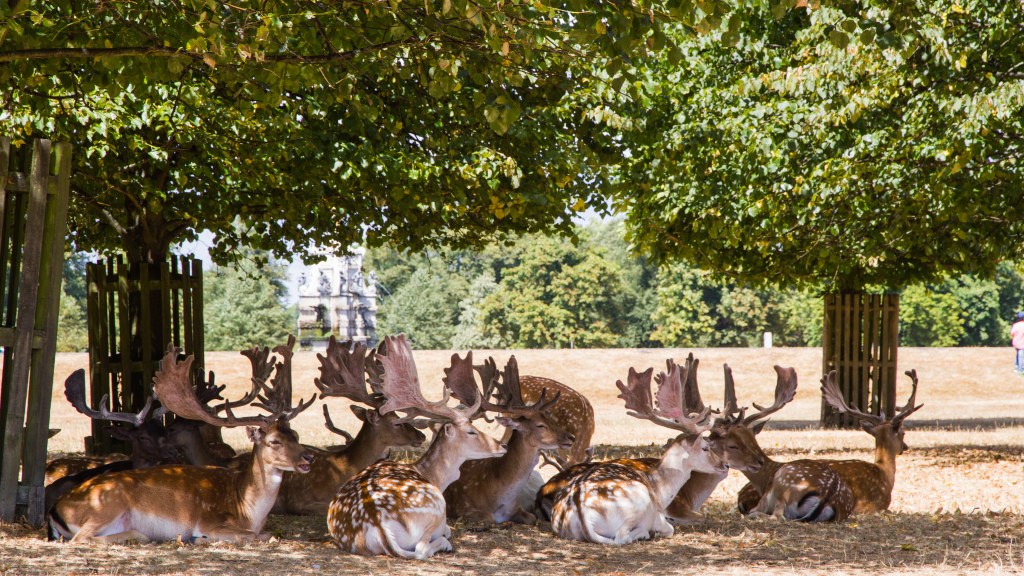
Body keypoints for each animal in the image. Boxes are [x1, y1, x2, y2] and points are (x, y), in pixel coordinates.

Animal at [47, 343, 315, 544]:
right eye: (274, 441)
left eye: (296, 435)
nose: (309, 457)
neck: (247, 508)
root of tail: (55, 508)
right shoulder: (210, 520)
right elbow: (261, 536)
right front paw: (199, 538)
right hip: (105, 506)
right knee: (81, 538)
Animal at [326, 334, 507, 559]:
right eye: (471, 431)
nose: (502, 445)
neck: (431, 475)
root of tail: (379, 525)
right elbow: (446, 531)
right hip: (435, 507)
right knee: (422, 548)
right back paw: (445, 544)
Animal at [444, 356, 575, 524]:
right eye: (540, 425)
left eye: (551, 419)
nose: (571, 437)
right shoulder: (466, 508)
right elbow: (490, 519)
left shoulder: (519, 509)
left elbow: (532, 518)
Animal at [547, 360, 744, 545]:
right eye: (705, 446)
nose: (724, 465)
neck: (661, 490)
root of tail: (582, 514)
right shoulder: (659, 515)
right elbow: (670, 527)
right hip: (636, 504)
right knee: (621, 537)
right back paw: (644, 533)